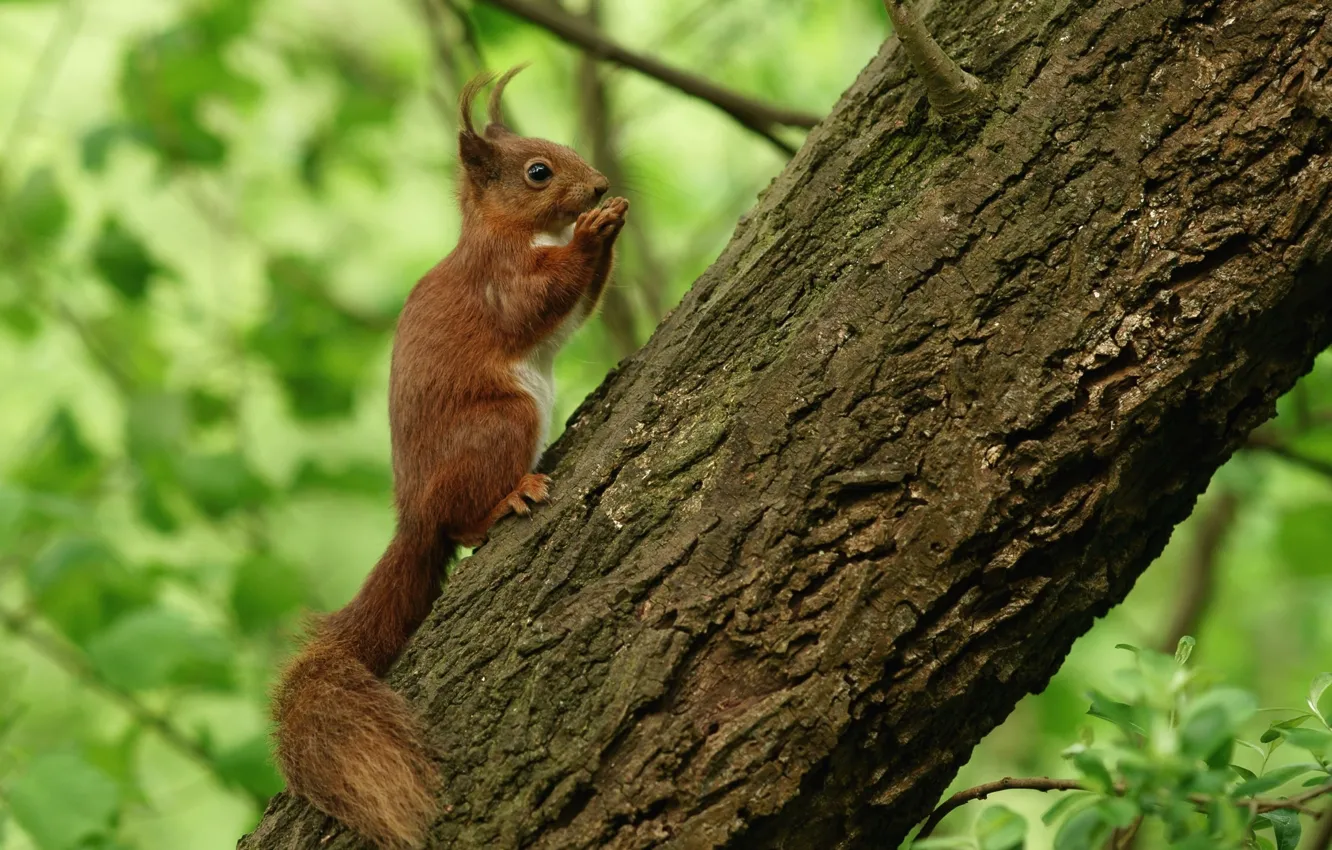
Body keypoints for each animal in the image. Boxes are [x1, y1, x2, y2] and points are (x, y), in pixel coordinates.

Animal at [271, 68, 628, 850]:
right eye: (537, 171)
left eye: (559, 148)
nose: (598, 184)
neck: (518, 229)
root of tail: (414, 516)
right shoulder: (501, 277)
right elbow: (538, 300)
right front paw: (595, 231)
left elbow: (582, 305)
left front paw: (610, 220)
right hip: (501, 425)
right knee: (461, 524)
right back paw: (506, 501)